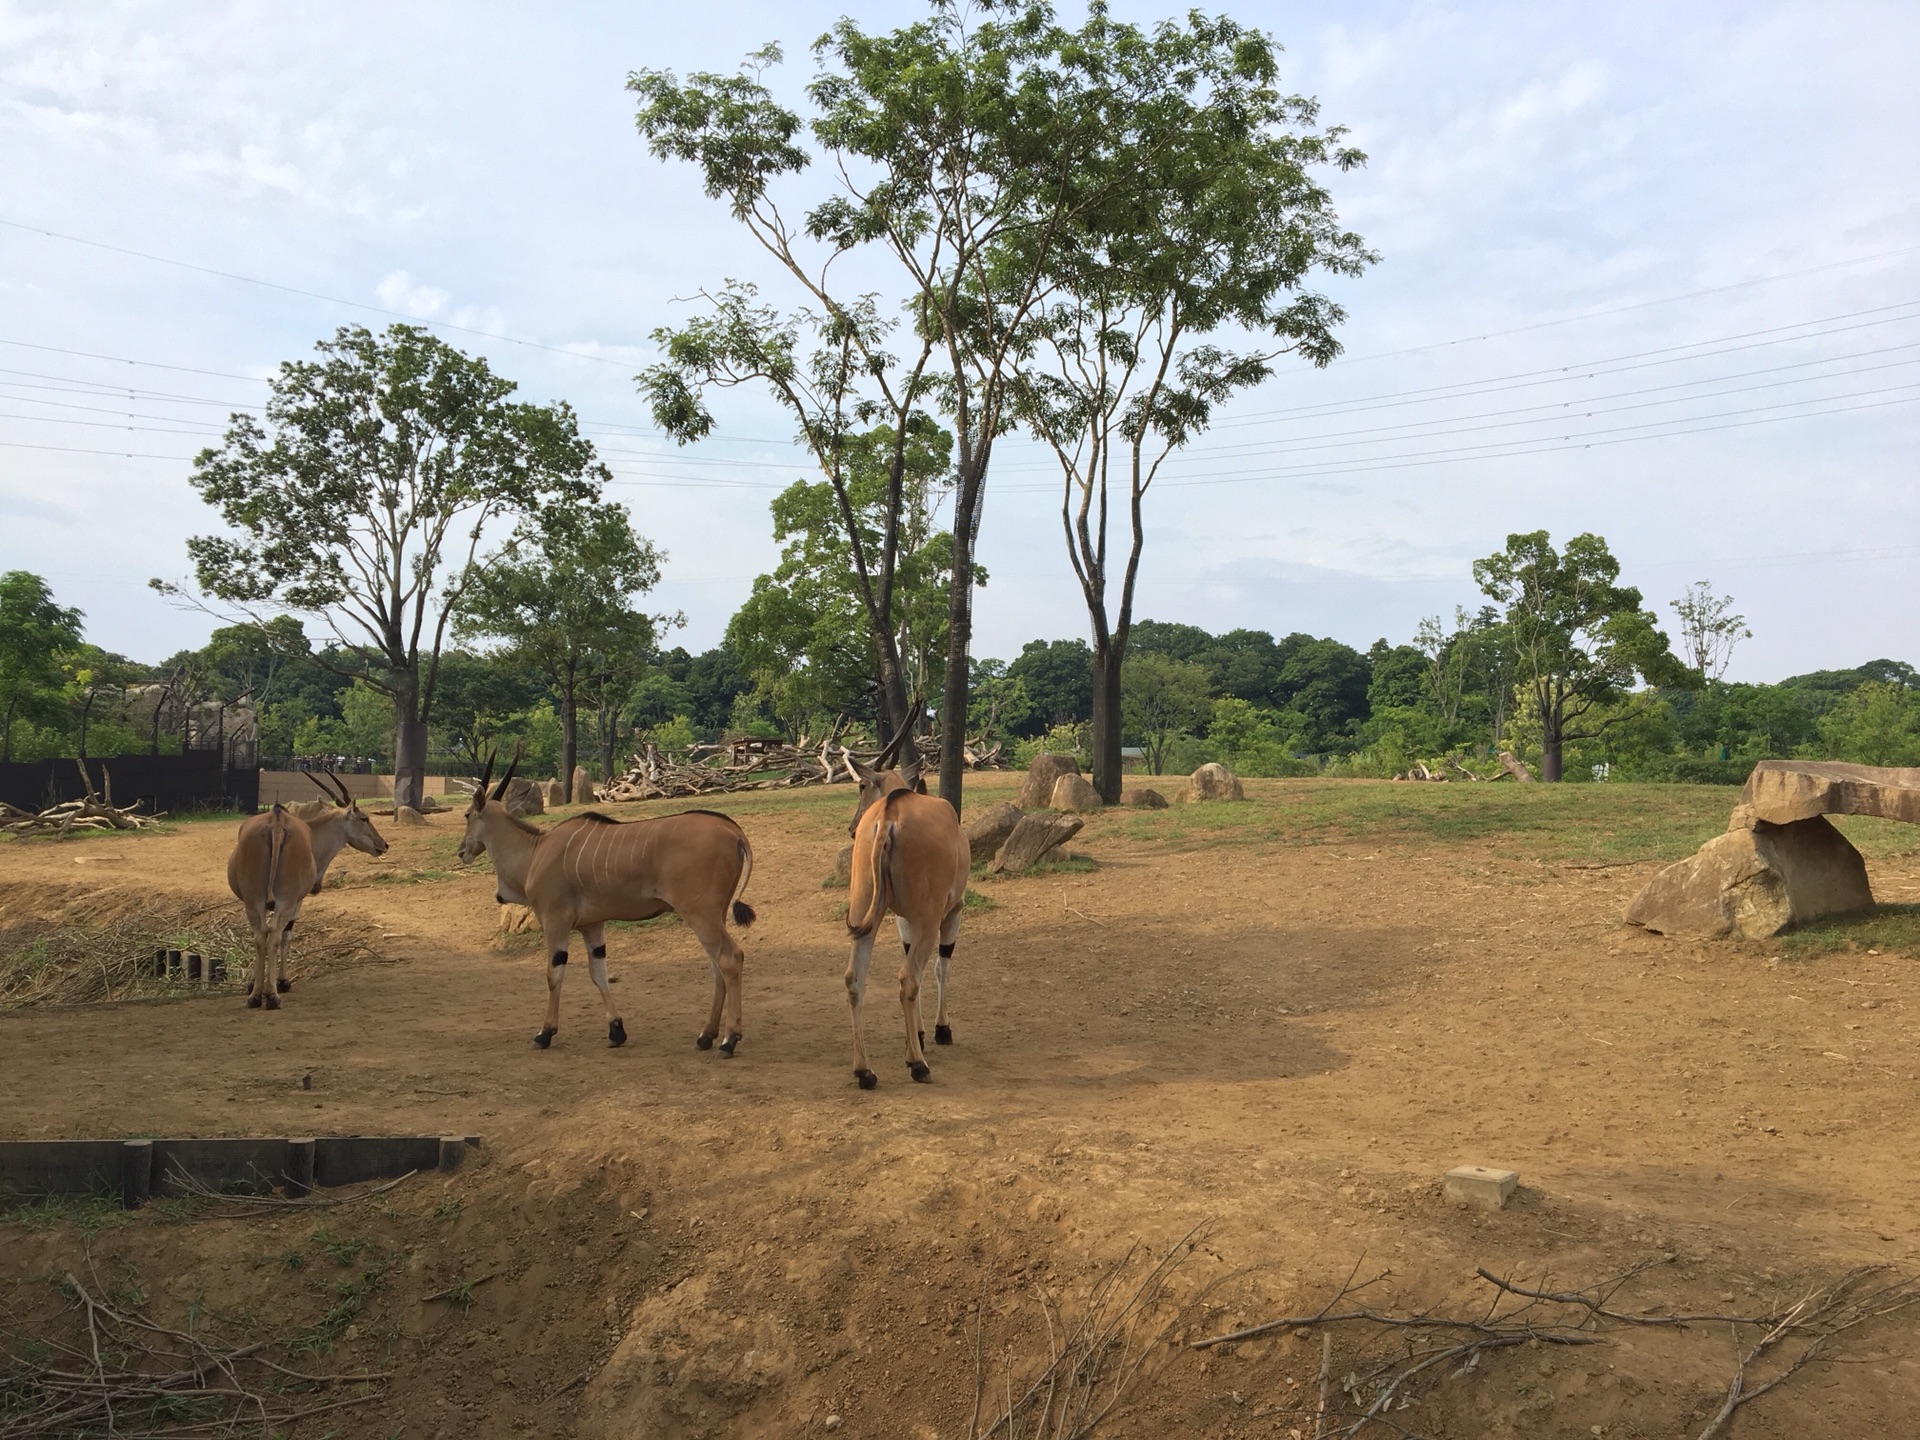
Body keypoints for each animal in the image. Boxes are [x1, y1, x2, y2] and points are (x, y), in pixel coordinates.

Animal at [456, 760, 756, 1052]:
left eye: (468, 814)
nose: (462, 851)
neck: (535, 851)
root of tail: (734, 831)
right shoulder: (592, 927)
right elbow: (598, 973)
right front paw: (616, 1030)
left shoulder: (555, 921)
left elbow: (554, 974)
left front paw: (545, 1033)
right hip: (714, 916)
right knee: (717, 967)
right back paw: (706, 1036)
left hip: (700, 915)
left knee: (730, 959)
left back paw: (729, 1040)